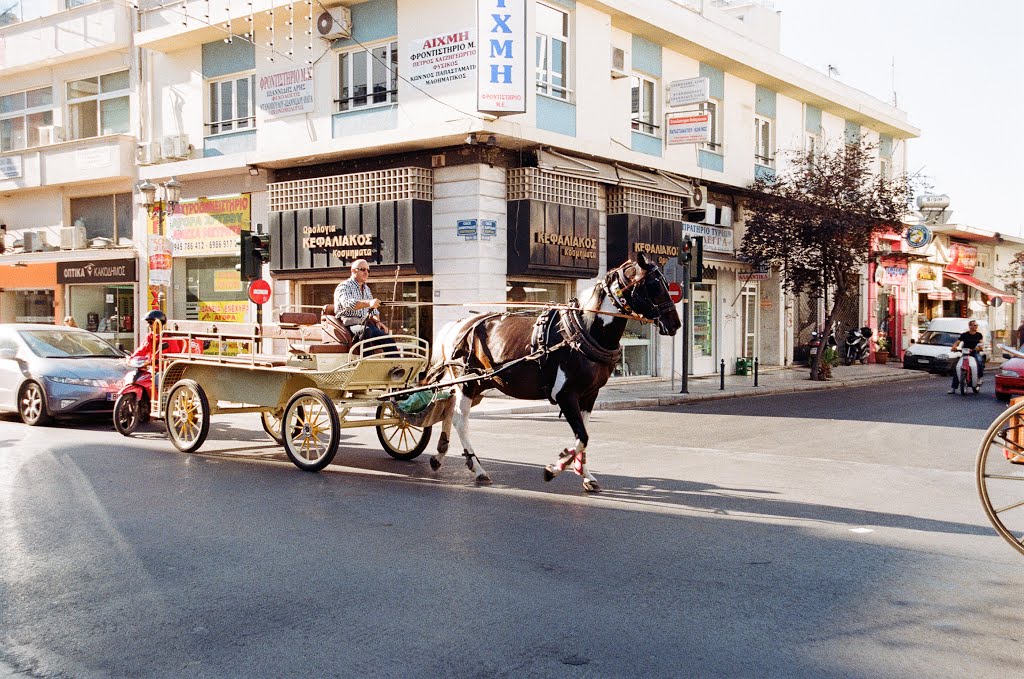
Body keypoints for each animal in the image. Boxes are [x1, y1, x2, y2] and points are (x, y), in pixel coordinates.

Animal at [423, 251, 679, 491]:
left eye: (667, 284)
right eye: (654, 285)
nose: (675, 324)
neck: (583, 332)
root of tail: (458, 325)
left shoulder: (590, 394)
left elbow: (583, 435)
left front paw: (584, 473)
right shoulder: (565, 395)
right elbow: (582, 436)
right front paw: (555, 468)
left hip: (480, 382)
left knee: (448, 411)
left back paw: (440, 455)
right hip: (467, 381)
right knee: (460, 419)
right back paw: (477, 468)